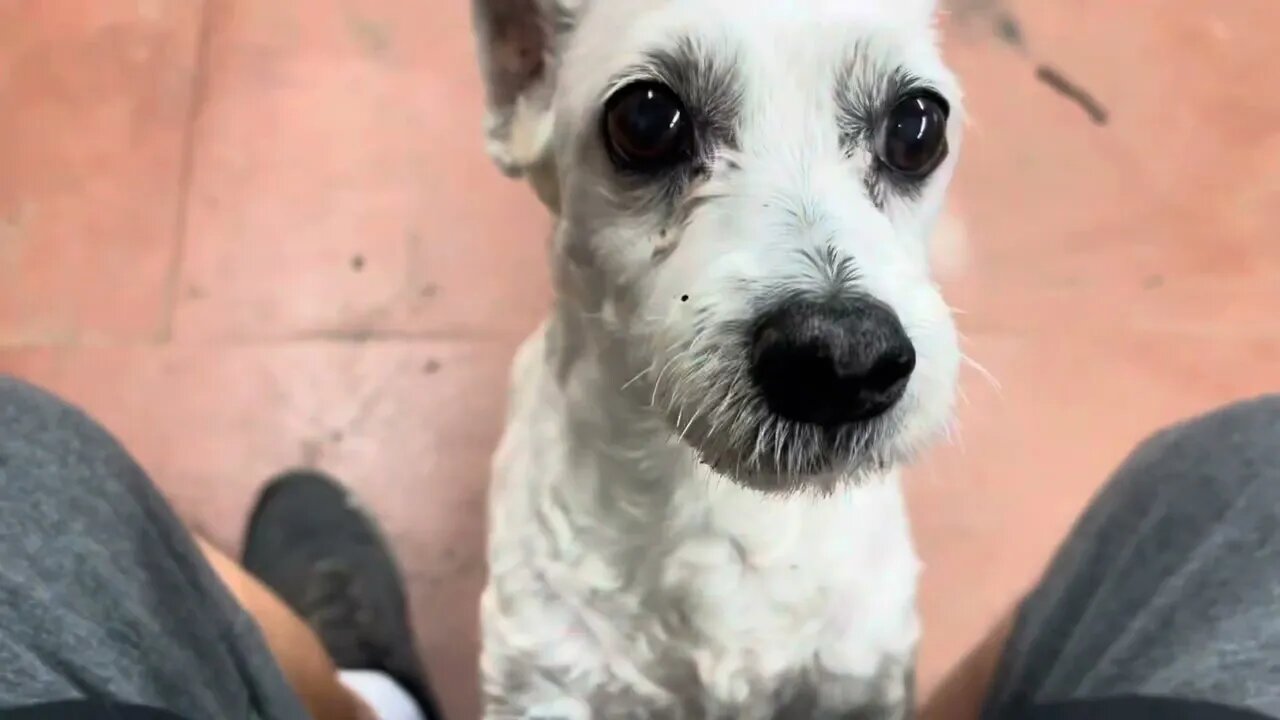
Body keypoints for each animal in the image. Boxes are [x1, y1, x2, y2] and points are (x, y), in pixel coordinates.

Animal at [471, 0, 962, 712]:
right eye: (646, 120)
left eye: (918, 127)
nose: (843, 357)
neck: (726, 501)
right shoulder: (544, 679)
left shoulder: (862, 674)